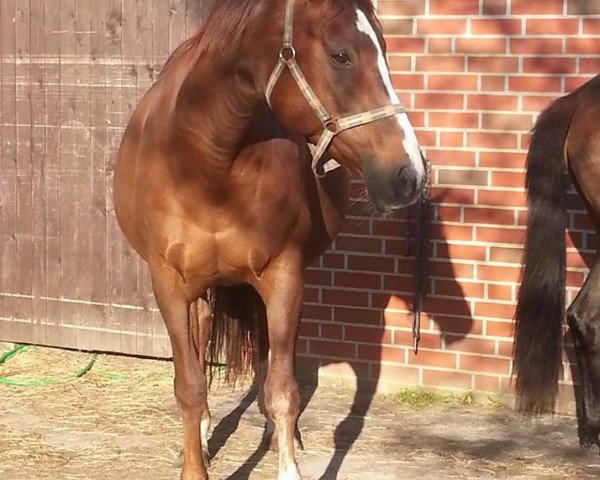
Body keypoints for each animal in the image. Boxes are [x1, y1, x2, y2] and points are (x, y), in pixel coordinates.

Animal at [111, 0, 422, 480]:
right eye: (341, 55)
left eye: (385, 48)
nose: (410, 175)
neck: (208, 161)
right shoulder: (168, 283)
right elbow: (189, 386)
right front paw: (194, 460)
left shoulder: (284, 274)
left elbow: (283, 389)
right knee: (202, 337)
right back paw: (203, 433)